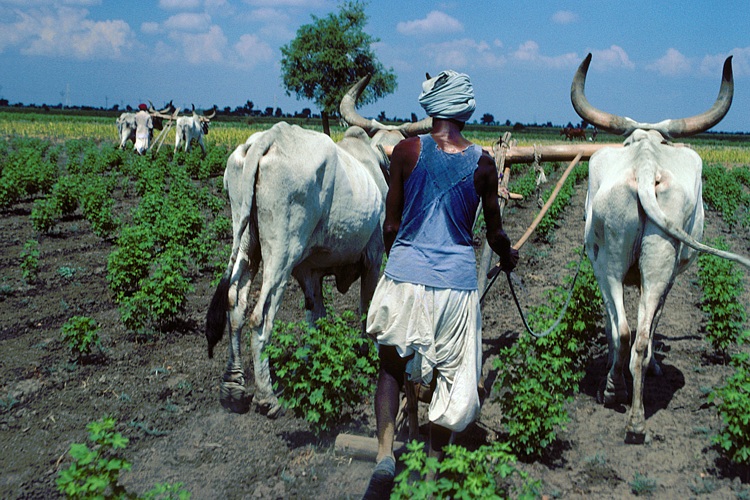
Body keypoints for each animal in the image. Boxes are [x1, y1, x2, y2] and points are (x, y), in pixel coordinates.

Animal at [572, 54, 748, 444]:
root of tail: (645, 165)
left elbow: (628, 325)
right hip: (651, 264)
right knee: (634, 333)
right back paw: (631, 410)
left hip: (610, 264)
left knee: (628, 333)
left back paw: (621, 401)